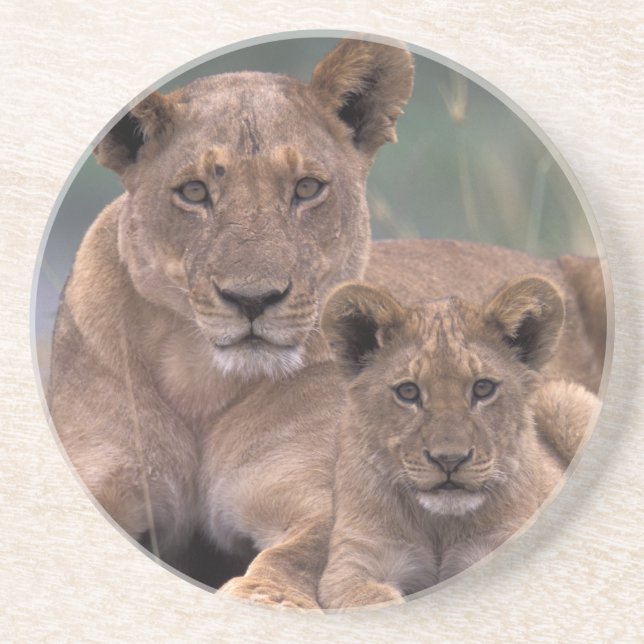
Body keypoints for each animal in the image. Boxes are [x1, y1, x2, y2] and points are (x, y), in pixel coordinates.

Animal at [316, 278, 599, 609]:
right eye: (408, 392)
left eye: (483, 388)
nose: (449, 460)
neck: (439, 525)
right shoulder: (353, 562)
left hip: (559, 397)